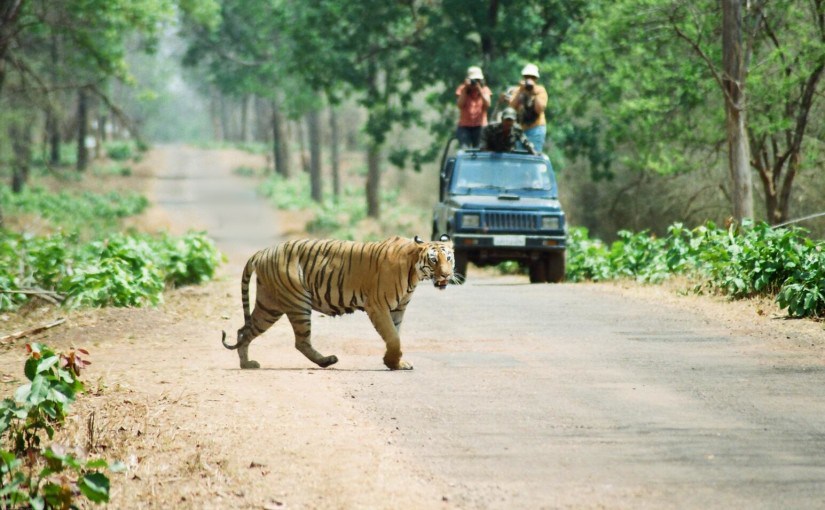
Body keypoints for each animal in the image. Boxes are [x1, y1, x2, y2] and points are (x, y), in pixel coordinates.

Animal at [219, 235, 454, 370]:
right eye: (434, 260)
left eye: (449, 258)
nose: (447, 275)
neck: (415, 272)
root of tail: (263, 251)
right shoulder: (378, 306)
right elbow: (393, 337)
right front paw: (393, 362)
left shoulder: (398, 308)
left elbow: (395, 336)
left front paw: (394, 362)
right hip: (297, 302)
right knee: (300, 342)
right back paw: (327, 361)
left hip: (269, 305)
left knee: (244, 330)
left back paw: (246, 364)